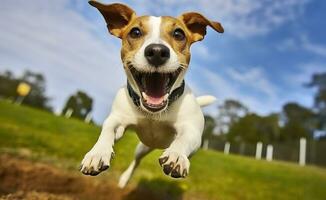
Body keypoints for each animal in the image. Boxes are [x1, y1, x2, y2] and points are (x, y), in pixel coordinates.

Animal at [80, 0, 223, 188]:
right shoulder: (117, 120)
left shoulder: (192, 130)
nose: (156, 51)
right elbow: (108, 129)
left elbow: (184, 139)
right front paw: (97, 153)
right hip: (141, 148)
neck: (153, 114)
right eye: (135, 32)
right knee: (136, 161)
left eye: (179, 34)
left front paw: (176, 155)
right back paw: (124, 179)